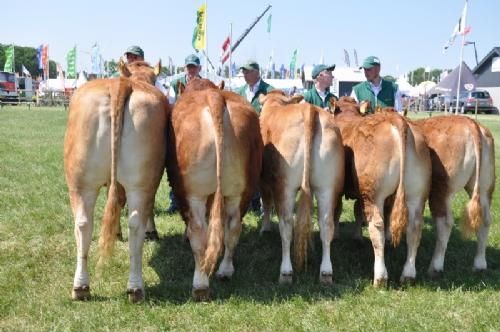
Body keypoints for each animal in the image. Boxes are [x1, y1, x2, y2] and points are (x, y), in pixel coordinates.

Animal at [167, 78, 264, 300]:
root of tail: (214, 97)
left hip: (193, 192)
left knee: (198, 231)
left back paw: (200, 284)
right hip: (241, 190)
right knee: (233, 227)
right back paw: (225, 270)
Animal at [258, 90, 344, 282]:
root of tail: (309, 109)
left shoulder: (265, 182)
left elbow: (266, 203)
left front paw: (265, 228)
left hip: (285, 186)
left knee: (287, 224)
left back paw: (285, 272)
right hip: (327, 186)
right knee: (326, 224)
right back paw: (326, 272)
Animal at [332, 96, 430, 286]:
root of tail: (397, 119)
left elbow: (338, 211)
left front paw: (336, 235)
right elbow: (358, 212)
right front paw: (357, 237)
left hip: (373, 194)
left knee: (376, 226)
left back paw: (380, 277)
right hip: (416, 194)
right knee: (414, 227)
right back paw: (408, 275)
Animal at [412, 115, 494, 276]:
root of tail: (470, 123)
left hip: (441, 189)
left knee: (445, 223)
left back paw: (435, 267)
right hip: (484, 187)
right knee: (485, 220)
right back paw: (479, 264)